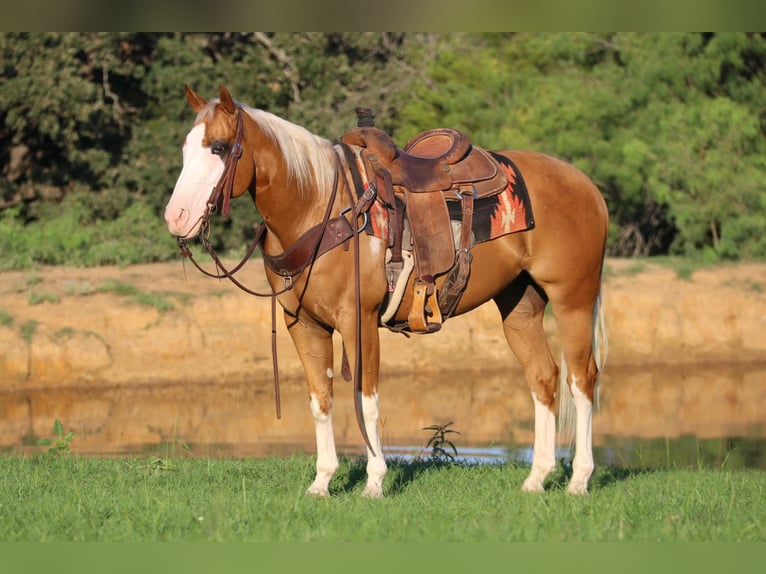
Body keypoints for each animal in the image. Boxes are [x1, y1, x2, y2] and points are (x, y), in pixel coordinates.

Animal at [165, 84, 608, 496]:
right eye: (185, 147)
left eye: (219, 148)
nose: (177, 217)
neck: (318, 207)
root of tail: (587, 185)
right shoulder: (303, 325)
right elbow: (320, 401)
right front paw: (322, 482)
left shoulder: (357, 321)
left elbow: (367, 400)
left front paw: (374, 482)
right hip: (521, 303)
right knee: (543, 377)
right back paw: (537, 479)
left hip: (573, 299)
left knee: (581, 380)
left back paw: (579, 480)